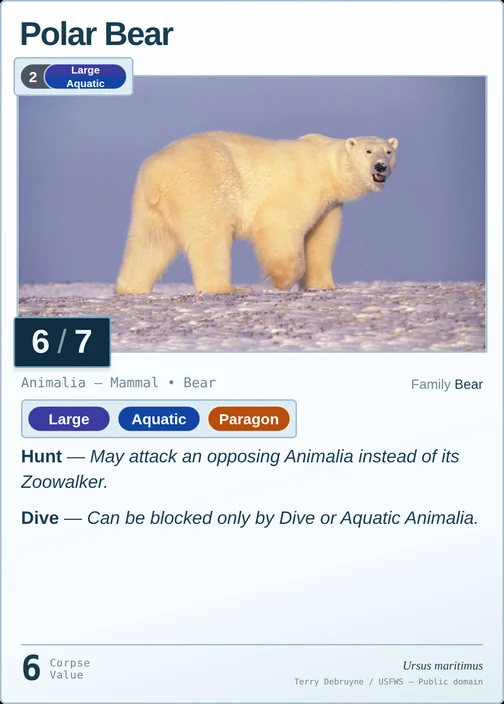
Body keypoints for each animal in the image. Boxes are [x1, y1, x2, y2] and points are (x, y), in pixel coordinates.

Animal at [115, 132, 398, 294]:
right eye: (368, 151)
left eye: (389, 151)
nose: (380, 166)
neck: (326, 166)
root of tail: (156, 173)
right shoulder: (301, 187)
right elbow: (280, 227)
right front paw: (281, 281)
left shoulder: (330, 204)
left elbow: (321, 240)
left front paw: (325, 284)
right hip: (201, 185)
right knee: (211, 237)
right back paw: (227, 288)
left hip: (148, 204)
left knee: (149, 243)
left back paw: (131, 288)